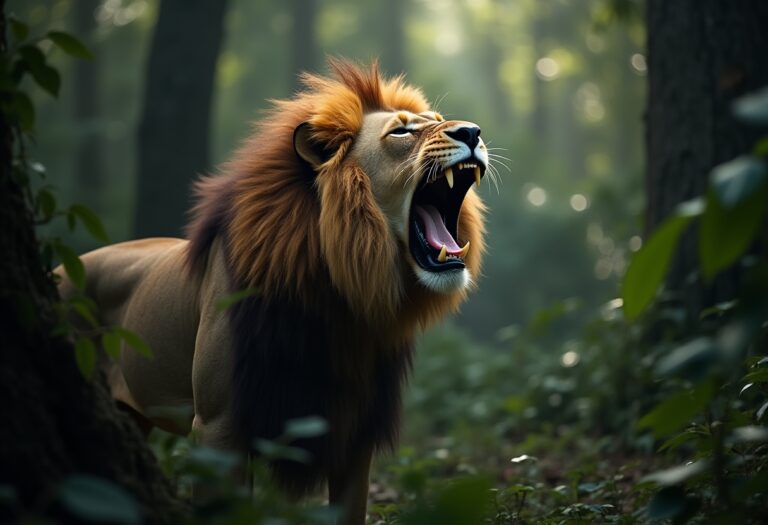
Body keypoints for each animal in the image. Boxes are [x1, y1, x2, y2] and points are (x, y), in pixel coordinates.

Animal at [57, 60, 489, 524]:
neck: (339, 297)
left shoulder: (354, 429)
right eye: (402, 132)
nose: (473, 132)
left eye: (437, 120)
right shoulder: (218, 425)